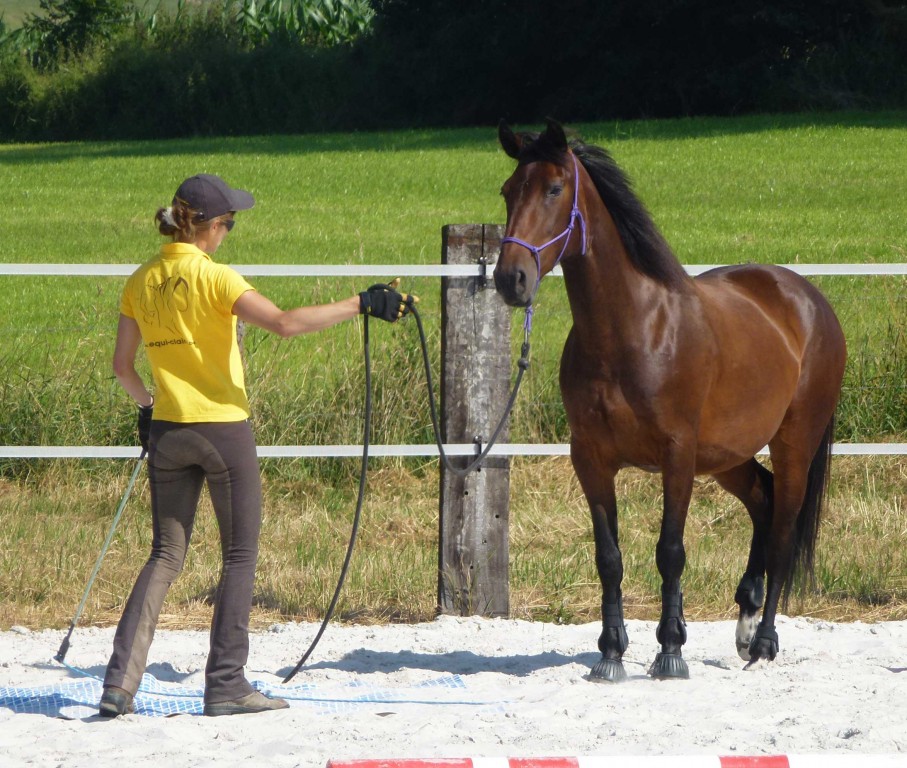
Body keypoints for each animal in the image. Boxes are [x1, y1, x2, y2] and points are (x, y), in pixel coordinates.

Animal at [493, 119, 847, 682]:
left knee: (783, 528)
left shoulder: (677, 455)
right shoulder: (590, 458)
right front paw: (611, 654)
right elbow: (609, 557)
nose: (511, 279)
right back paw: (745, 623)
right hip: (728, 456)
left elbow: (670, 551)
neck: (632, 329)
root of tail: (809, 300)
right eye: (508, 191)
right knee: (763, 502)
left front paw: (671, 651)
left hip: (794, 444)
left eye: (554, 189)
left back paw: (763, 642)